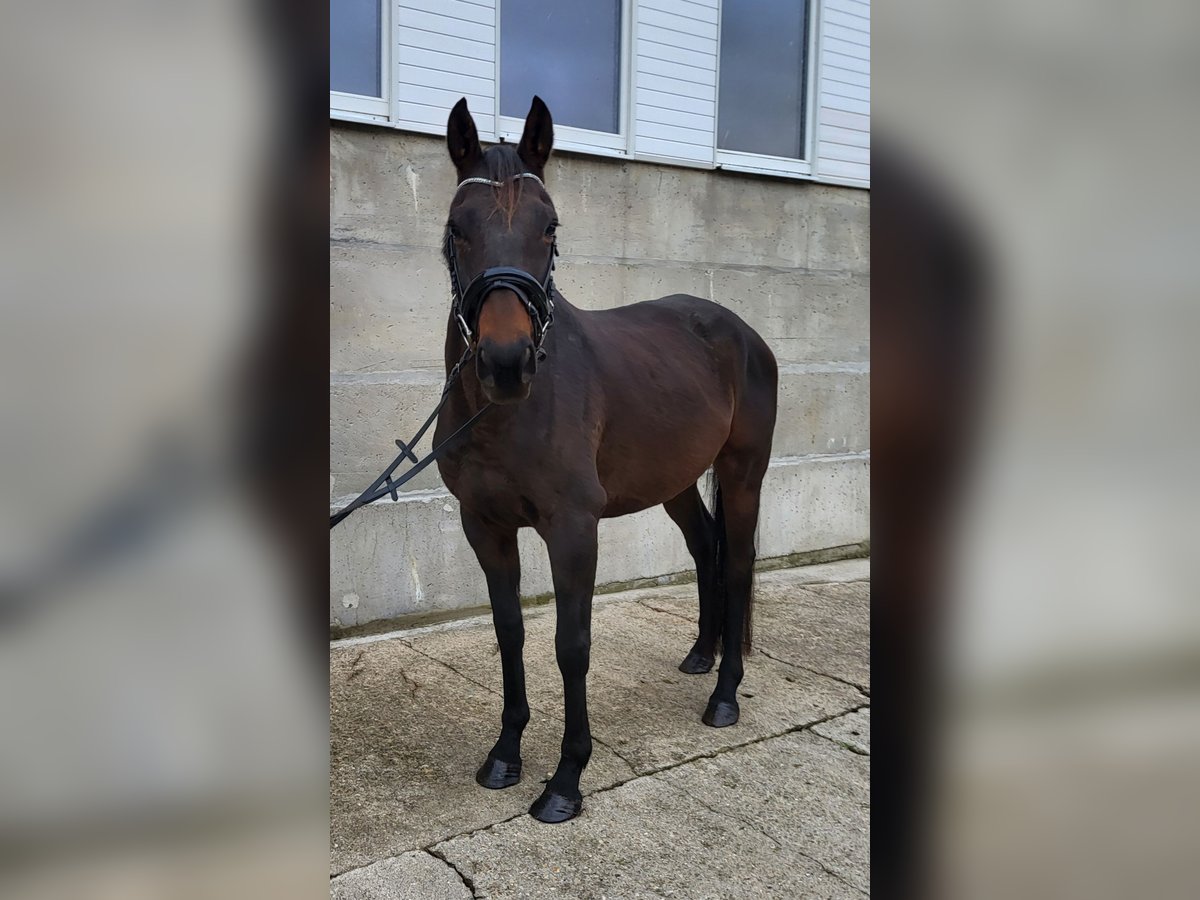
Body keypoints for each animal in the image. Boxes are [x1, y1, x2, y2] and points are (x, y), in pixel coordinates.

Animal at [432, 97, 777, 825]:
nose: (506, 363)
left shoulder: (572, 528)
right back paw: (701, 655)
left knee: (736, 561)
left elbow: (573, 645)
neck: (507, 413)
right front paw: (505, 754)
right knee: (705, 546)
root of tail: (741, 333)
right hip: (676, 481)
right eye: (457, 227)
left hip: (742, 472)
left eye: (550, 226)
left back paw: (724, 695)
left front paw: (566, 779)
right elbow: (510, 632)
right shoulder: (485, 525)